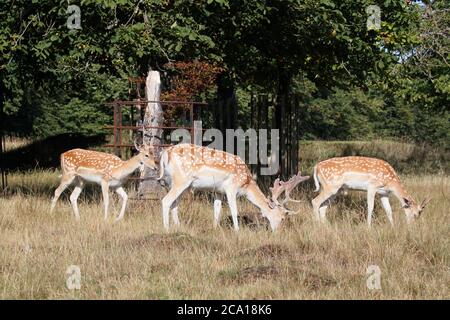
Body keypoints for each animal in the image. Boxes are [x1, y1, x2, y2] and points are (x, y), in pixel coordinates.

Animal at [156, 144, 310, 231]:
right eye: (283, 218)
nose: (278, 231)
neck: (246, 184)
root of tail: (164, 154)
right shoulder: (231, 188)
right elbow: (234, 210)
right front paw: (237, 230)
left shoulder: (218, 191)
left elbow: (217, 210)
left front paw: (215, 228)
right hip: (181, 180)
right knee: (166, 200)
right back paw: (166, 228)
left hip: (175, 183)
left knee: (174, 204)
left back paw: (178, 226)